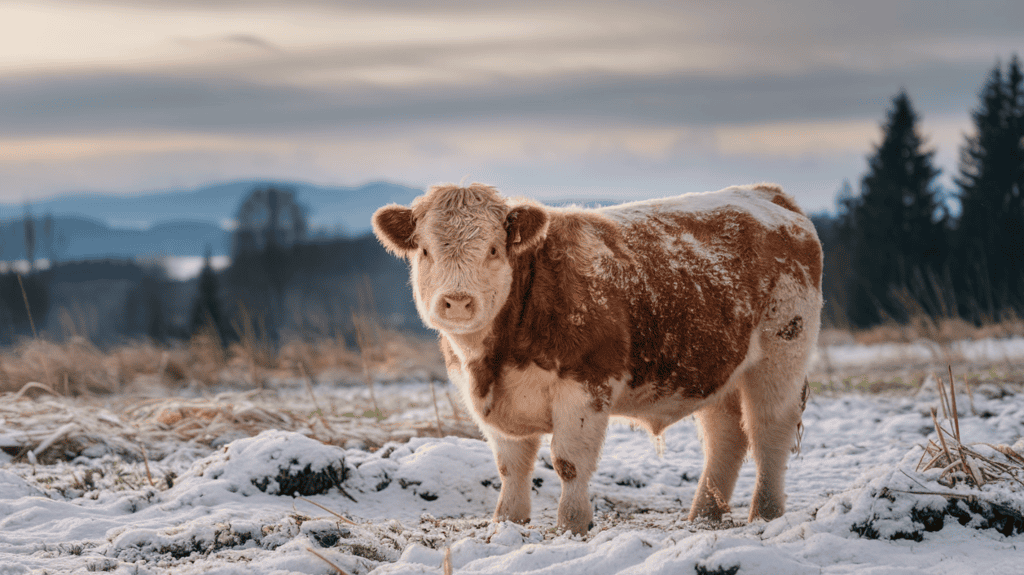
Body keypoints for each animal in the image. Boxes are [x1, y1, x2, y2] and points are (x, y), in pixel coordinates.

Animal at [372, 183, 822, 535]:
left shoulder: (585, 384)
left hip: (781, 353)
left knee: (769, 431)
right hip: (714, 367)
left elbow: (569, 463)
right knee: (726, 437)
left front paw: (572, 525)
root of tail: (766, 194)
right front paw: (506, 524)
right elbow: (511, 468)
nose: (457, 301)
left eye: (494, 249)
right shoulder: (494, 403)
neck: (492, 362)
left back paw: (764, 514)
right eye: (424, 251)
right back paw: (703, 517)